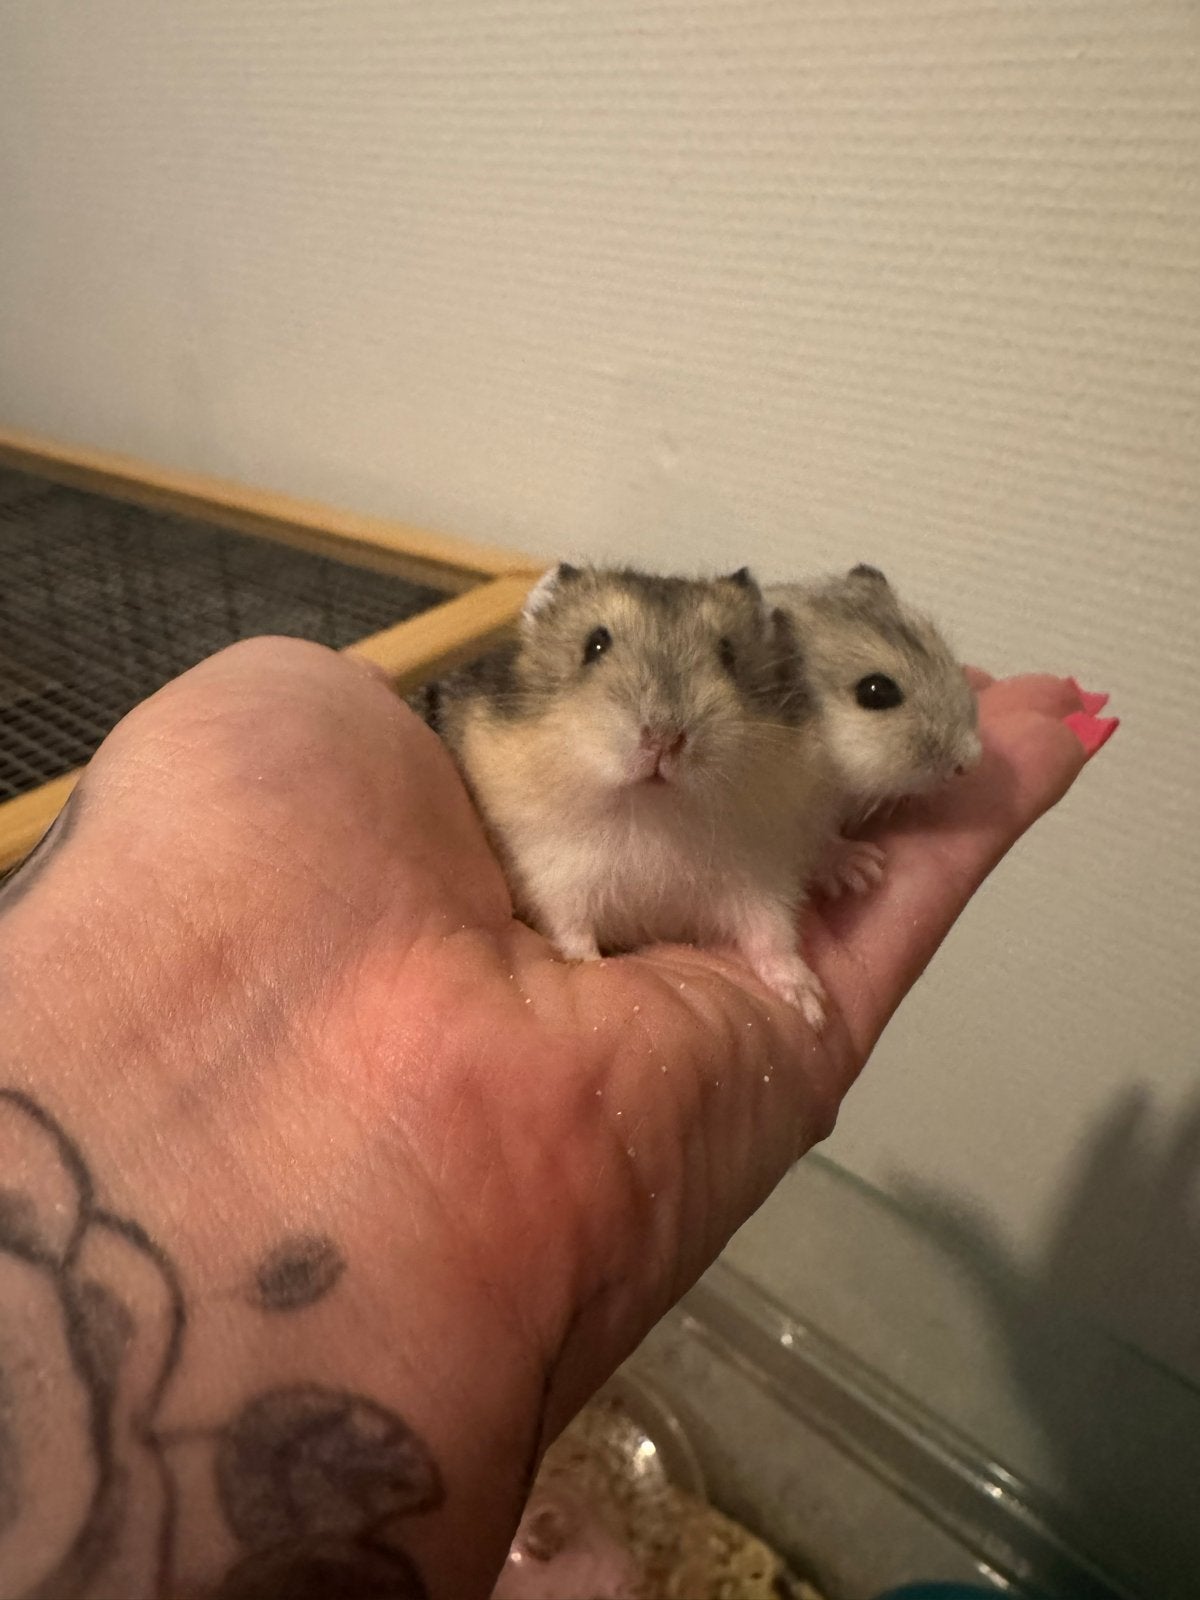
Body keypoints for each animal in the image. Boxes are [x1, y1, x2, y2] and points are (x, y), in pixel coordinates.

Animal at [423, 564, 838, 1025]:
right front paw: (589, 965)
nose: (664, 738)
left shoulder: (762, 874)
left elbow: (773, 934)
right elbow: (571, 928)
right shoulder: (551, 874)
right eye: (595, 644)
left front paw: (813, 1009)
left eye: (728, 653)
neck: (652, 814)